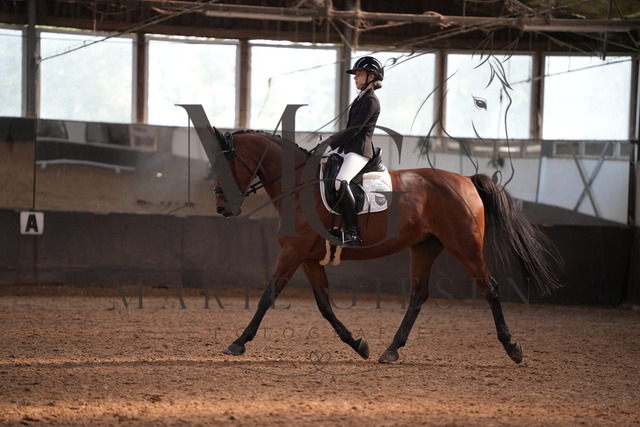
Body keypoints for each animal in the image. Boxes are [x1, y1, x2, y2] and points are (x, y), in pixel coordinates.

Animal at [209, 127, 561, 364]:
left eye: (225, 167)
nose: (223, 208)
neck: (299, 186)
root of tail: (466, 180)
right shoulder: (307, 258)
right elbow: (324, 306)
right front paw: (359, 344)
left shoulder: (293, 253)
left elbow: (267, 297)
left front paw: (238, 342)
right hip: (425, 247)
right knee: (419, 295)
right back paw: (391, 350)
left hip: (466, 248)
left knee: (490, 288)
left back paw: (512, 348)